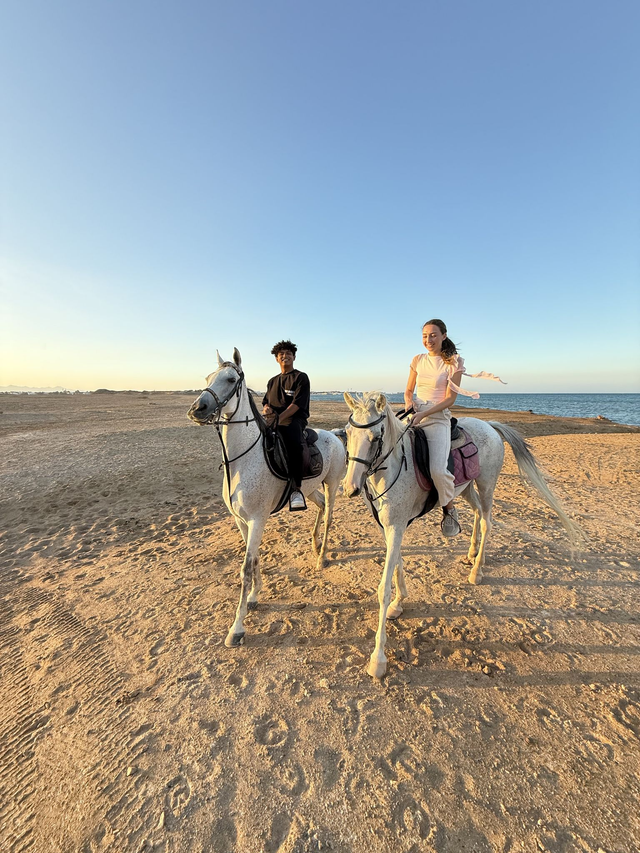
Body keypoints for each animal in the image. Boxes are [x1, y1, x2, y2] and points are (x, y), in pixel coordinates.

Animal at [187, 349, 346, 648]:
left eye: (230, 379)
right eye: (207, 377)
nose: (197, 409)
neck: (243, 460)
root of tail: (335, 435)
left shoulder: (257, 520)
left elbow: (246, 569)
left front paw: (237, 628)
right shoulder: (242, 521)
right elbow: (255, 560)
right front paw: (253, 598)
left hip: (331, 485)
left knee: (330, 516)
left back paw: (321, 557)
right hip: (311, 489)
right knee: (319, 507)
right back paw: (314, 543)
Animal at [343, 391, 583, 679]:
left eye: (375, 437)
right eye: (347, 433)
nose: (350, 488)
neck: (394, 467)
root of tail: (489, 425)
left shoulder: (396, 527)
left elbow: (383, 588)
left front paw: (378, 659)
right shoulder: (389, 528)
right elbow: (398, 564)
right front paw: (399, 603)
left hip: (487, 485)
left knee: (488, 522)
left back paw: (477, 571)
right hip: (467, 488)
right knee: (478, 513)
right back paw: (472, 554)